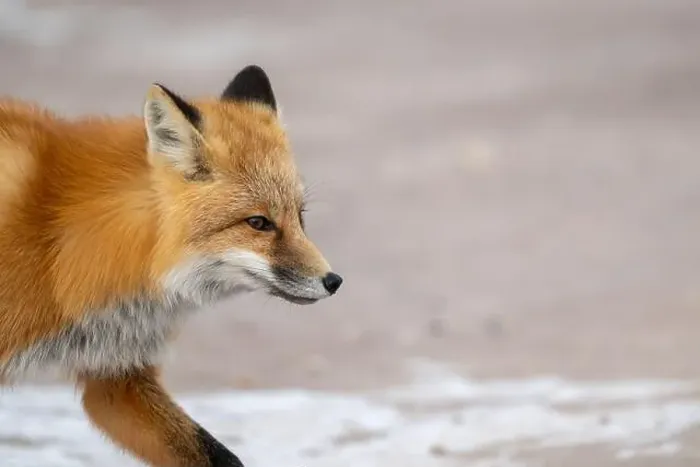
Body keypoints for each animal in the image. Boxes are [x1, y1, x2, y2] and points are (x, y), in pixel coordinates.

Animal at [0, 64, 343, 466]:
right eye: (258, 223)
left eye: (300, 217)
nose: (333, 280)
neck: (55, 243)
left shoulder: (117, 376)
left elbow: (214, 454)